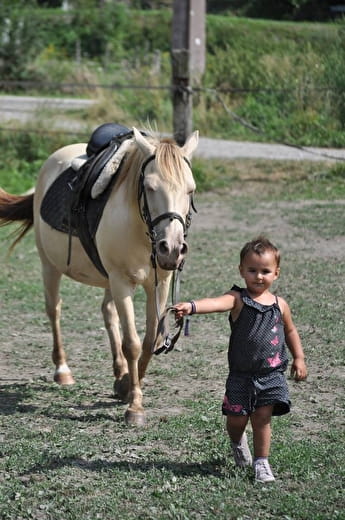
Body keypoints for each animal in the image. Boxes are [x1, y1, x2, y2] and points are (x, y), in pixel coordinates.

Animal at [0, 128, 198, 424]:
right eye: (150, 187)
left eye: (190, 189)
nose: (172, 249)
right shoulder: (122, 282)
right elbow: (133, 344)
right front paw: (135, 406)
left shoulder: (158, 284)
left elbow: (150, 340)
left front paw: (126, 385)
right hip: (50, 265)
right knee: (54, 310)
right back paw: (62, 370)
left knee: (107, 313)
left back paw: (118, 372)